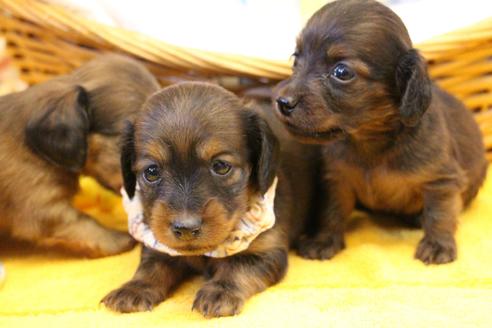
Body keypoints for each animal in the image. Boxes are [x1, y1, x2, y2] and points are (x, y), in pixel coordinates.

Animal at [103, 82, 320, 318]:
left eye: (221, 166)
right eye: (151, 172)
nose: (186, 229)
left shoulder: (267, 252)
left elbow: (236, 268)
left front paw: (220, 291)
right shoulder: (158, 244)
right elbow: (151, 266)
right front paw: (135, 288)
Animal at [274, 0, 486, 266]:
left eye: (342, 72)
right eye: (295, 59)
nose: (282, 102)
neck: (371, 144)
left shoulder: (441, 180)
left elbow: (440, 214)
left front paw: (438, 244)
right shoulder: (337, 179)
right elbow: (330, 212)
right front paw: (323, 240)